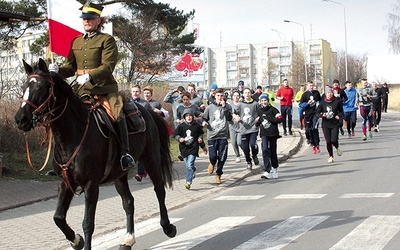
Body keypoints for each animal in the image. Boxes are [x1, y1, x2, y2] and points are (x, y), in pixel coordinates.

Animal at [14, 59, 177, 250]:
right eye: (24, 86)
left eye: (41, 87)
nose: (21, 119)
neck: (73, 134)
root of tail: (148, 111)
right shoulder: (66, 182)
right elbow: (58, 217)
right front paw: (76, 240)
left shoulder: (91, 184)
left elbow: (88, 223)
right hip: (119, 174)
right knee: (128, 202)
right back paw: (128, 239)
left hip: (151, 160)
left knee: (159, 190)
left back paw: (168, 227)